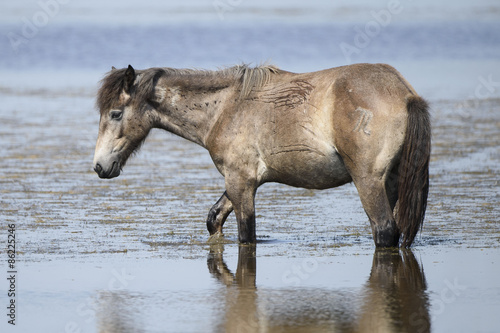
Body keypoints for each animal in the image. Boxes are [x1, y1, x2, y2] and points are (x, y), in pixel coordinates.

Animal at [93, 63, 430, 248]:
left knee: (384, 231)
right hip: (391, 183)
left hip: (368, 181)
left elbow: (246, 236)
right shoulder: (239, 182)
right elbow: (214, 219)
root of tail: (405, 94)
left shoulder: (240, 182)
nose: (99, 166)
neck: (224, 109)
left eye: (115, 113)